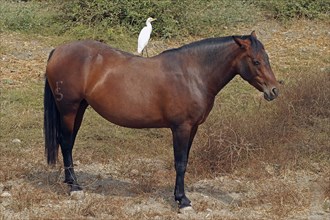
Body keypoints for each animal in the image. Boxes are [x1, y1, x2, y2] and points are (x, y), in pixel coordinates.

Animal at [43, 31, 278, 211]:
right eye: (256, 61)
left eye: (267, 58)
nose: (274, 91)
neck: (193, 74)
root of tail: (58, 50)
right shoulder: (181, 128)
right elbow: (180, 162)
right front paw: (183, 201)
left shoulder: (192, 128)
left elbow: (185, 161)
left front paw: (178, 196)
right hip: (69, 109)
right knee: (66, 143)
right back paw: (74, 188)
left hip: (80, 109)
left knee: (68, 143)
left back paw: (71, 181)